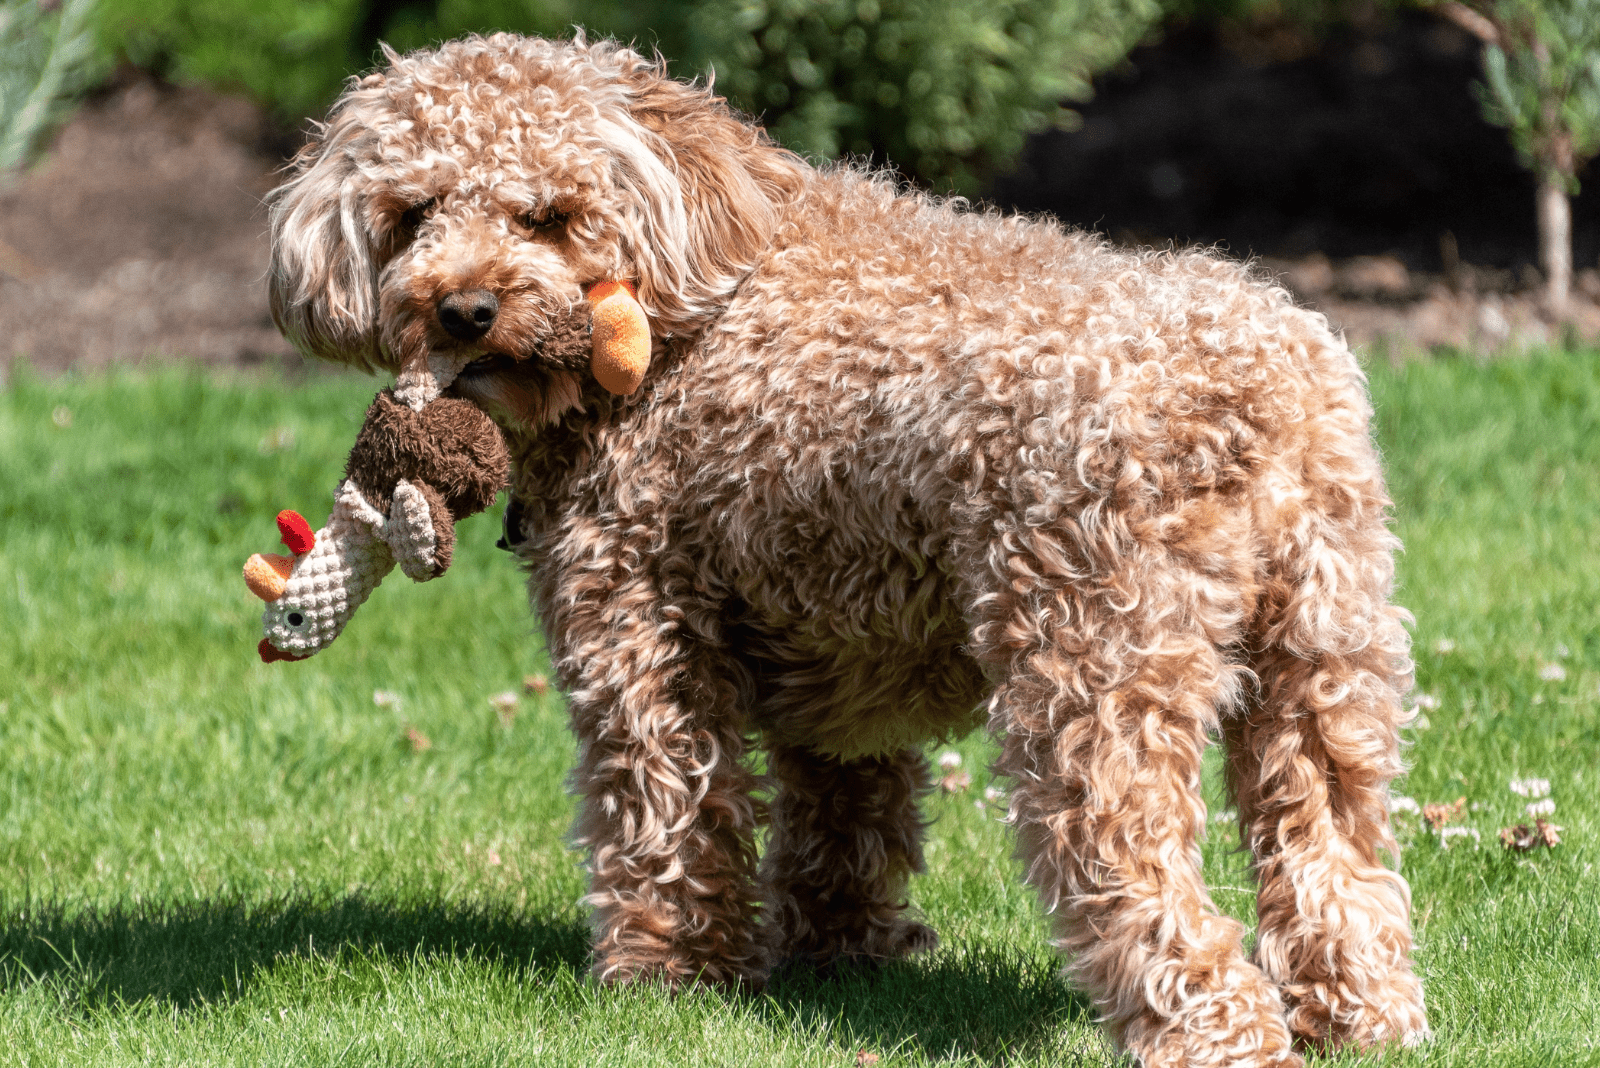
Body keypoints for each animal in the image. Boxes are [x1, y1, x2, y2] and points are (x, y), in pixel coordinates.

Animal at [268, 33, 1433, 1068]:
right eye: (412, 216)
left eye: (546, 217)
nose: (462, 308)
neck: (694, 287)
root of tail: (1243, 389)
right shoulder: (838, 644)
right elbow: (843, 806)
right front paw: (841, 951)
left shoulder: (638, 621)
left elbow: (665, 816)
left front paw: (670, 978)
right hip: (1324, 652)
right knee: (1334, 847)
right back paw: (1362, 1016)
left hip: (1094, 657)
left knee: (1141, 871)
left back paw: (1211, 1034)